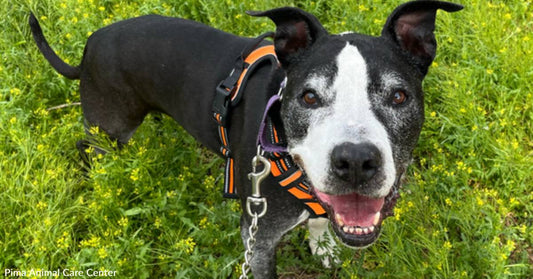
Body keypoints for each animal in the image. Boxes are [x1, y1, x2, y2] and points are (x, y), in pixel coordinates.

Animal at [29, 1, 462, 278]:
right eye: (309, 96)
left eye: (398, 96)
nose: (355, 161)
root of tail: (91, 43)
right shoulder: (258, 240)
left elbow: (321, 220)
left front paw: (322, 246)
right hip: (110, 124)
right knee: (88, 146)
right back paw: (99, 178)